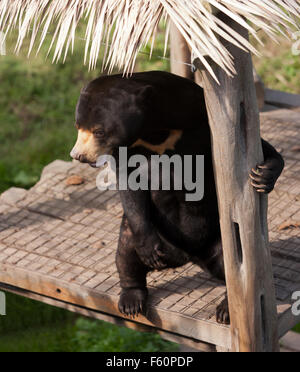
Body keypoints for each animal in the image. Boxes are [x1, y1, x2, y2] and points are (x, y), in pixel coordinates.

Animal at [70, 71, 284, 324]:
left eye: (99, 131)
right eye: (78, 126)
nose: (78, 156)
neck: (155, 130)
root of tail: (187, 257)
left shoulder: (199, 114)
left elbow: (258, 148)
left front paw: (263, 175)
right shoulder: (129, 150)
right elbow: (129, 184)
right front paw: (149, 251)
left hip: (222, 239)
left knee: (235, 262)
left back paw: (226, 309)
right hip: (147, 233)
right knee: (126, 253)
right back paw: (132, 299)